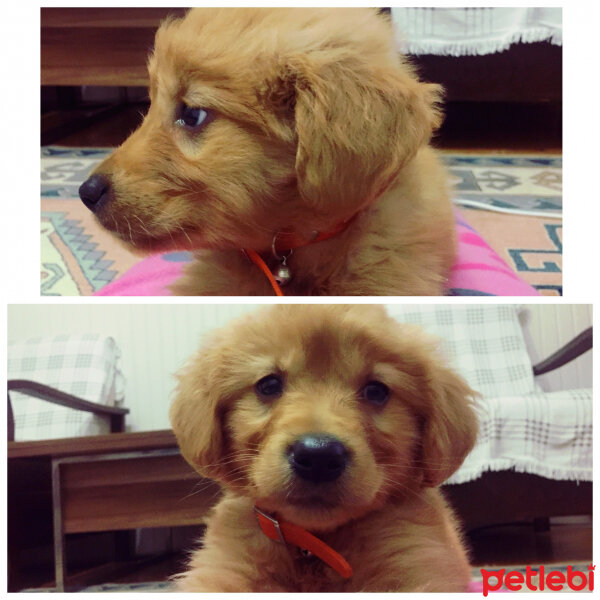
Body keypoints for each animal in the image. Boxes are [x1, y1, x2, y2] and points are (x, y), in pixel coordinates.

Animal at [169, 304, 478, 592]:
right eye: (268, 385)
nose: (318, 456)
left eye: (377, 391)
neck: (314, 546)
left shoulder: (416, 564)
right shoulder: (226, 567)